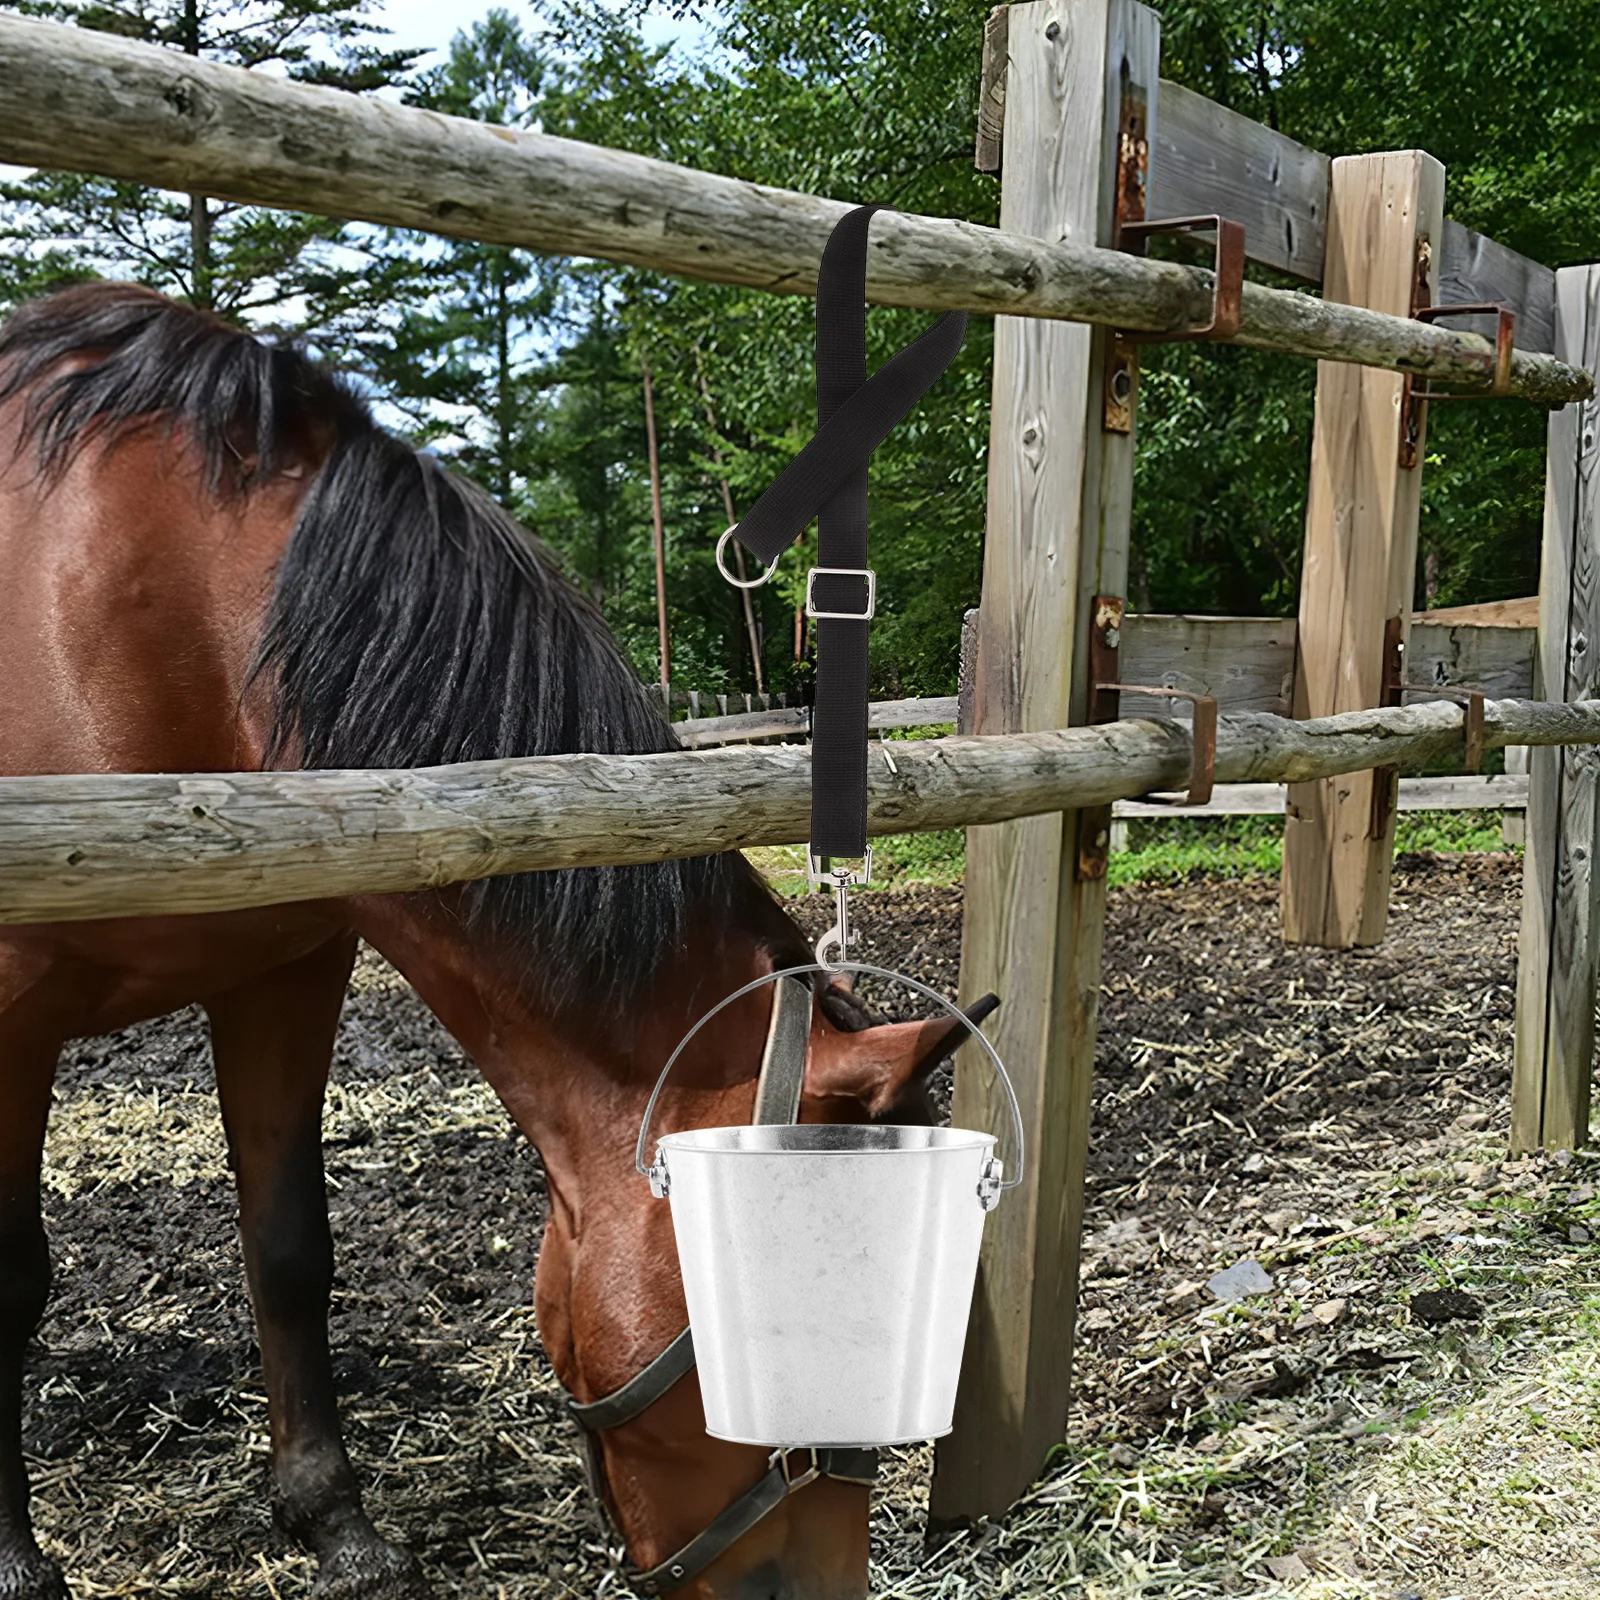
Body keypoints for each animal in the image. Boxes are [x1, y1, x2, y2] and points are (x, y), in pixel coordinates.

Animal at [0, 283, 992, 1600]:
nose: (824, 1587)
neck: (157, 628)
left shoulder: (283, 973)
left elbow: (289, 1247)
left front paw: (336, 1524)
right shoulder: (10, 1021)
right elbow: (9, 1278)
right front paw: (13, 1555)